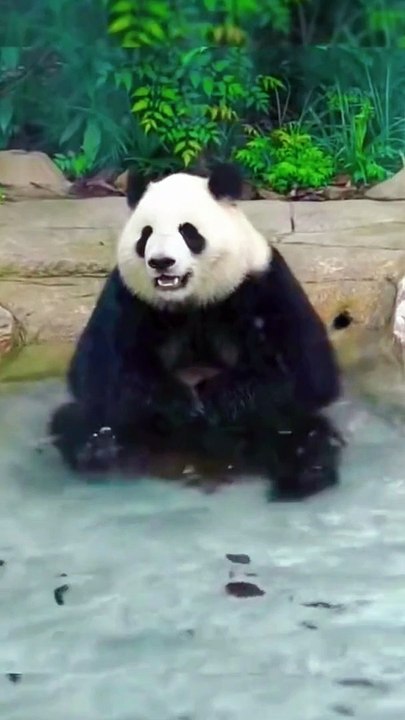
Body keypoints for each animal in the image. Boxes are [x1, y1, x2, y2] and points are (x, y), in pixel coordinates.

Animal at [49, 162, 343, 500]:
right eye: (146, 234)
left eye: (188, 232)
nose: (161, 262)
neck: (189, 300)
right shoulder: (128, 297)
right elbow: (98, 373)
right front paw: (179, 401)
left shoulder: (262, 284)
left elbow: (306, 373)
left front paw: (214, 396)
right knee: (79, 419)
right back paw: (98, 451)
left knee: (303, 432)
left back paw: (302, 477)